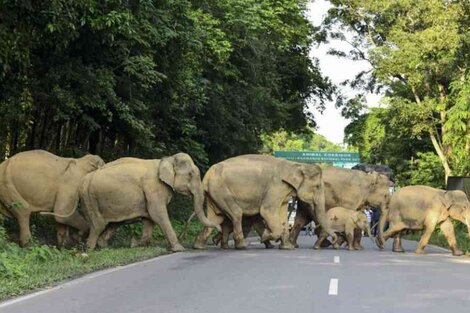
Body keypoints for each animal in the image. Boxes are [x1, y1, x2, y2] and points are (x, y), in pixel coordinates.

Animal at [78, 152, 220, 250]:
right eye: (190, 174)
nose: (219, 229)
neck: (167, 159)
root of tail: (84, 180)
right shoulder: (154, 187)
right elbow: (157, 214)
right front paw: (179, 249)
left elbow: (149, 218)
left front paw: (134, 244)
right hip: (90, 199)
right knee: (98, 225)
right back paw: (89, 249)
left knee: (112, 223)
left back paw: (102, 245)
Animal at [191, 155, 334, 250]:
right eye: (317, 187)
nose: (332, 240)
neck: (295, 164)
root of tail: (206, 177)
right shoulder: (275, 186)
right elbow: (267, 211)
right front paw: (266, 236)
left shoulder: (283, 191)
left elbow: (282, 215)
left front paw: (287, 247)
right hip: (220, 190)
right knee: (236, 213)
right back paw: (241, 246)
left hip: (214, 193)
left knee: (214, 218)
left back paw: (198, 246)